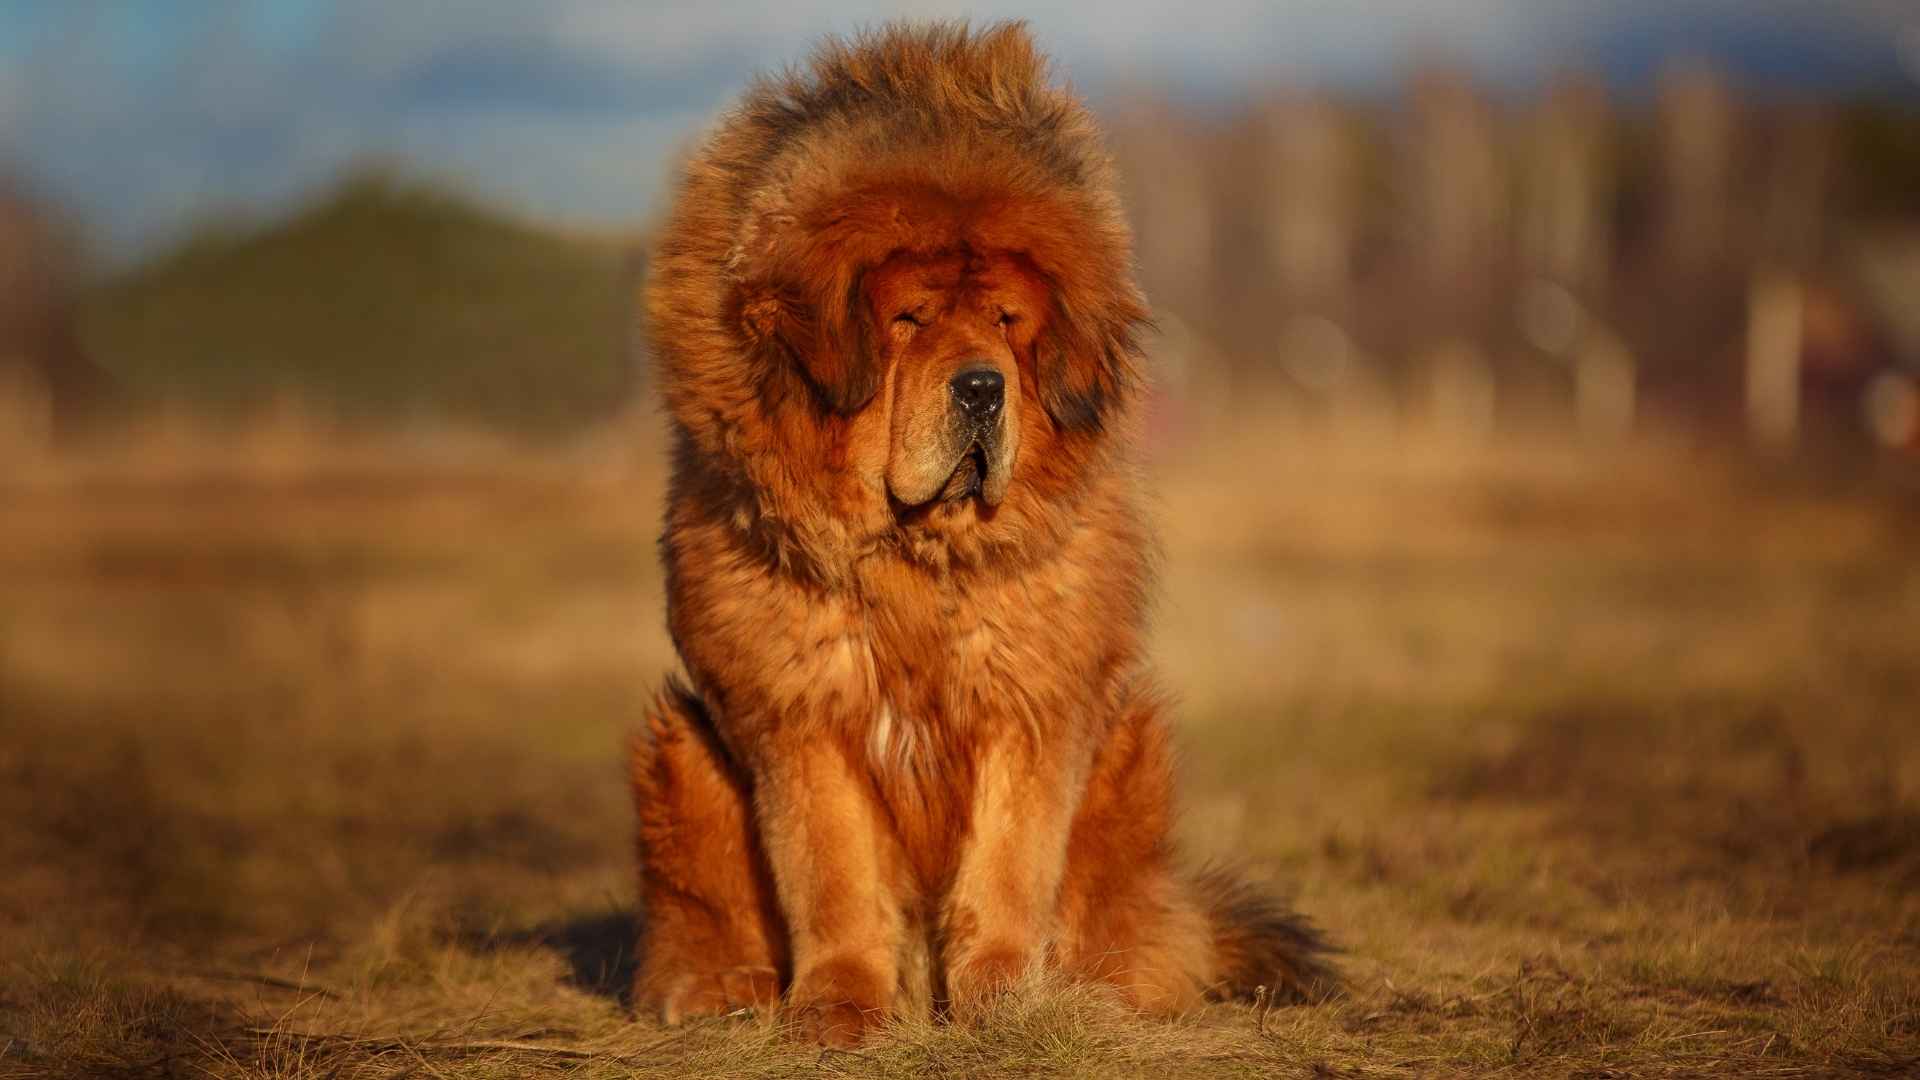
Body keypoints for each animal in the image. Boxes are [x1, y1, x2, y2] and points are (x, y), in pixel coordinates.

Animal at [629, 18, 1336, 1045]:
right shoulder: (801, 716)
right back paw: (721, 987)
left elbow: (1007, 872)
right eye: (908, 320)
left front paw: (1006, 999)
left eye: (1006, 322)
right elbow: (833, 881)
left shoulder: (1031, 706)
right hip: (679, 747)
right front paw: (838, 1008)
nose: (980, 387)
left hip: (1132, 752)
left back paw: (1100, 985)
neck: (914, 559)